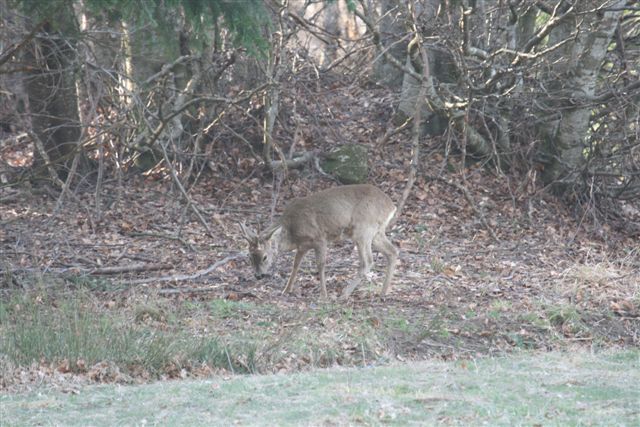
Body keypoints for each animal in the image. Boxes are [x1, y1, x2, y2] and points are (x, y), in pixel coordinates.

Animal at [240, 185, 398, 300]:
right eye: (249, 256)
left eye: (265, 257)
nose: (258, 275)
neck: (292, 230)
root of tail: (391, 206)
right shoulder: (303, 246)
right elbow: (295, 265)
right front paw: (286, 290)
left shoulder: (320, 238)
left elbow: (320, 265)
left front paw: (323, 294)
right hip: (376, 232)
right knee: (393, 251)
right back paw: (383, 293)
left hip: (362, 229)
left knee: (368, 261)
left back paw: (344, 294)